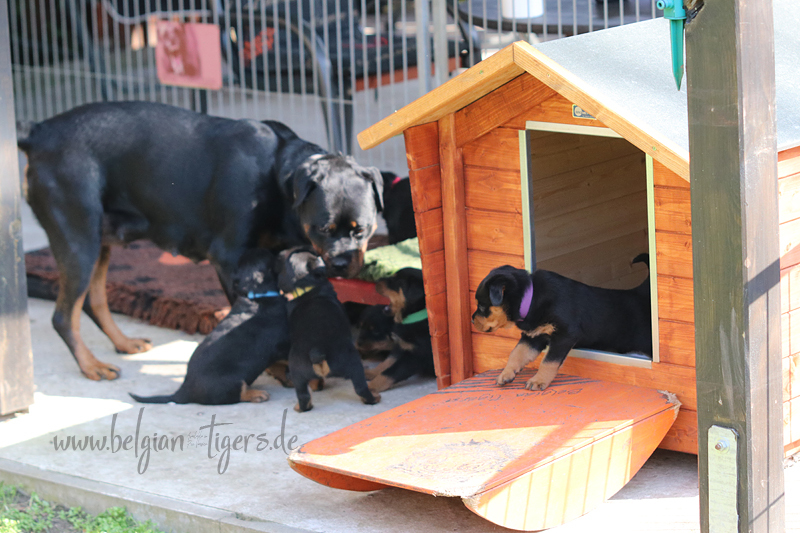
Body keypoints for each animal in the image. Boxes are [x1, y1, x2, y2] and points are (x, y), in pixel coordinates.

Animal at [17, 101, 383, 380]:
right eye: (323, 228)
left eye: (362, 229)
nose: (341, 263)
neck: (280, 178)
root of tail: (38, 131)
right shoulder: (229, 257)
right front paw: (277, 366)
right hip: (78, 238)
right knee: (63, 316)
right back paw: (91, 366)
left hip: (100, 239)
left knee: (94, 301)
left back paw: (123, 343)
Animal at [129, 249, 290, 405]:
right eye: (270, 255)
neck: (255, 295)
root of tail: (183, 392)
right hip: (231, 382)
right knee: (237, 394)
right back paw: (256, 394)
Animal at [276, 247, 380, 412]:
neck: (305, 289)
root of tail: (317, 350)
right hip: (353, 362)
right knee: (361, 388)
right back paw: (373, 398)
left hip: (297, 372)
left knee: (303, 395)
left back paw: (300, 407)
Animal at [472, 254, 652, 391]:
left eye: (481, 306)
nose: (472, 320)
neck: (531, 299)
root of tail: (640, 293)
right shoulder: (534, 336)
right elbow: (516, 353)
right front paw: (506, 374)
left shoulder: (564, 334)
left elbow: (548, 361)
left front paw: (538, 381)